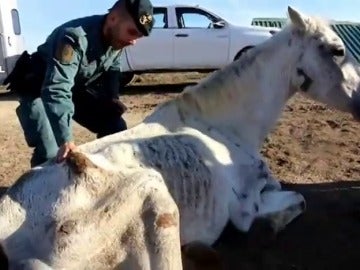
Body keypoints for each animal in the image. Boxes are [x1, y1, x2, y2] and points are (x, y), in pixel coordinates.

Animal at [0, 6, 360, 270]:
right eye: (337, 50)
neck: (223, 128)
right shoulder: (249, 200)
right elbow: (295, 200)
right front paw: (263, 228)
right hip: (157, 202)